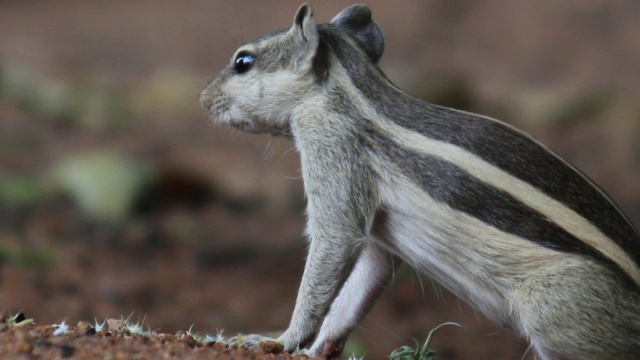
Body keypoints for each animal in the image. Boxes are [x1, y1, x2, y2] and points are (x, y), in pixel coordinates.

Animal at [199, 3, 640, 360]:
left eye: (243, 61)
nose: (203, 101)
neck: (350, 93)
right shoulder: (380, 239)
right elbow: (360, 286)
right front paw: (317, 348)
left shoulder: (333, 154)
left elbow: (332, 244)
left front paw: (280, 340)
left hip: (556, 314)